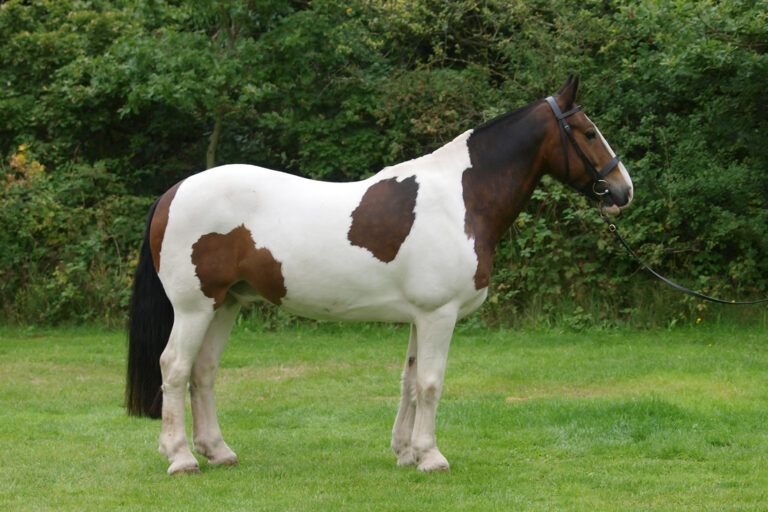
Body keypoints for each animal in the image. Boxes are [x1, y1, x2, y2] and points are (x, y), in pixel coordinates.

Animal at [126, 76, 633, 475]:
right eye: (588, 133)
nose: (623, 191)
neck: (461, 198)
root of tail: (174, 191)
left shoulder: (419, 316)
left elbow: (409, 381)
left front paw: (405, 452)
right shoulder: (439, 315)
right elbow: (430, 382)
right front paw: (431, 457)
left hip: (226, 304)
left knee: (203, 371)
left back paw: (218, 451)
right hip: (195, 307)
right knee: (174, 368)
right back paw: (181, 458)